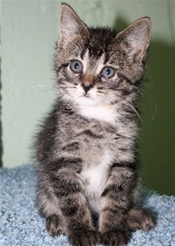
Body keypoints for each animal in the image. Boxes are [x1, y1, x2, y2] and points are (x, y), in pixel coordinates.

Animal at [34, 3, 154, 246]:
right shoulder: (61, 161)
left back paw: (135, 215)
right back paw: (56, 219)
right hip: (43, 184)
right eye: (76, 66)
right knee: (48, 201)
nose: (86, 86)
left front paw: (112, 230)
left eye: (107, 71)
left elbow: (116, 198)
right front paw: (82, 231)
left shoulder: (123, 161)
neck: (98, 118)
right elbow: (72, 201)